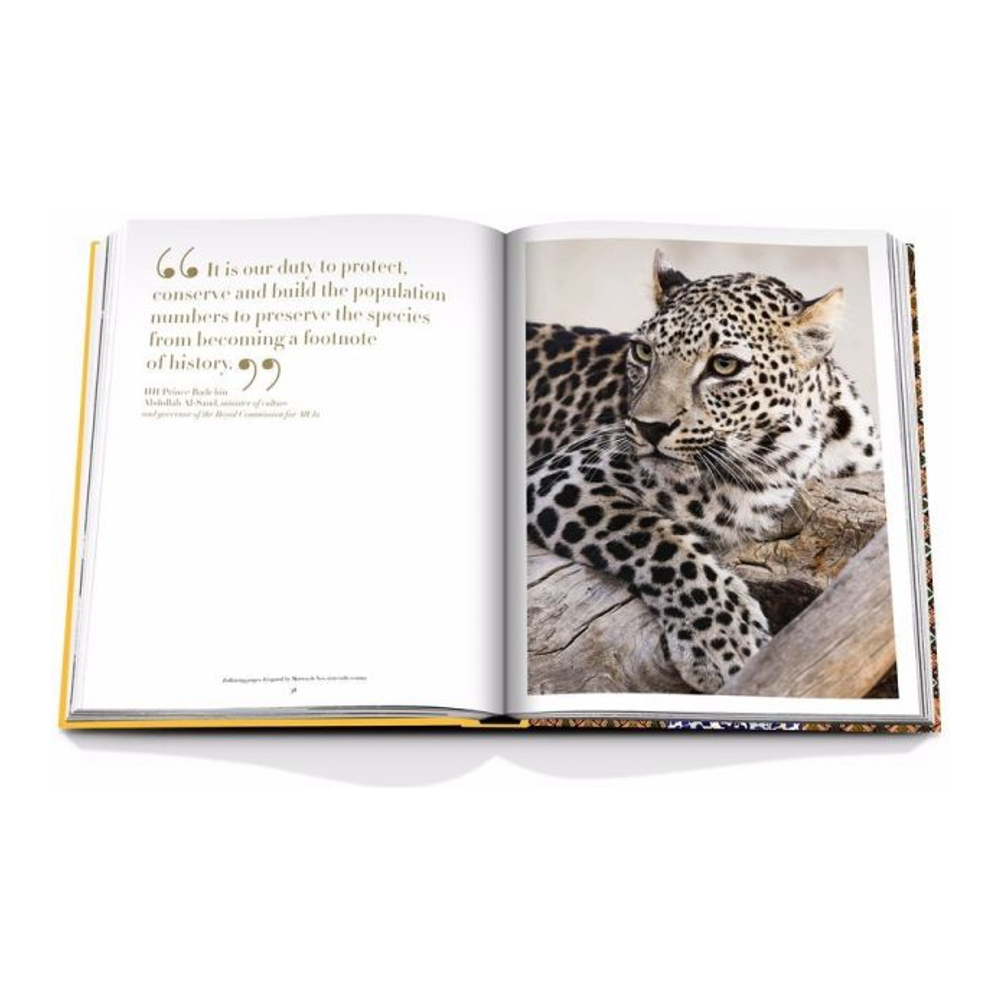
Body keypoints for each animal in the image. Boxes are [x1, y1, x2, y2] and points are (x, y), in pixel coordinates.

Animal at [525, 250, 882, 693]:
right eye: (644, 352)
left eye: (724, 365)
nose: (649, 427)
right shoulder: (567, 473)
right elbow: (660, 541)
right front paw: (725, 642)